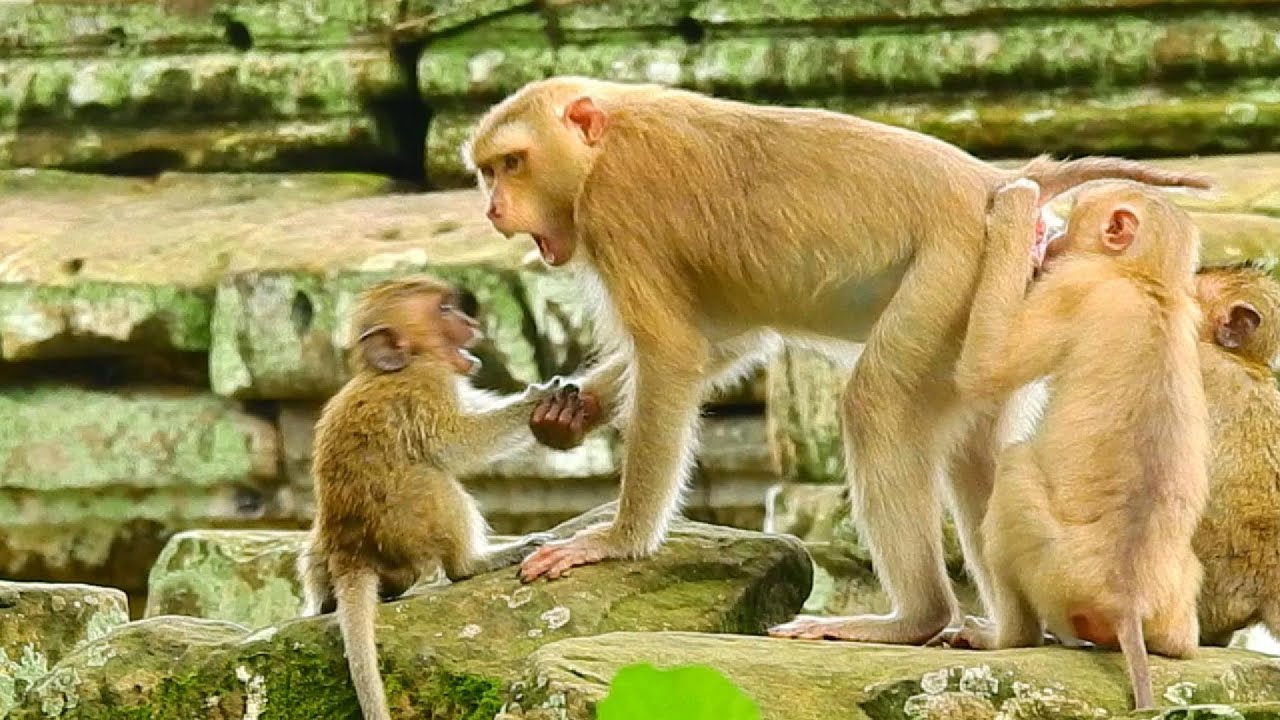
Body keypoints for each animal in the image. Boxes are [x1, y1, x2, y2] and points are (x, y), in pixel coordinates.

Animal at [295, 276, 581, 720]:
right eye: (444, 310)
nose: (472, 322)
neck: (401, 363)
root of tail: (351, 553)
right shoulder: (426, 383)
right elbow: (455, 444)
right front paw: (537, 399)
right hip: (409, 524)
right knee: (433, 479)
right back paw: (473, 562)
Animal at [464, 75, 1211, 645]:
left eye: (512, 163)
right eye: (488, 171)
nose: (494, 209)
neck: (604, 143)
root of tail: (993, 182)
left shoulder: (619, 210)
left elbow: (674, 353)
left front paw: (616, 542)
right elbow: (728, 338)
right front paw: (570, 411)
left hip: (955, 268)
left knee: (878, 405)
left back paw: (915, 619)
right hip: (1010, 291)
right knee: (979, 451)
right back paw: (1013, 633)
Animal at [942, 178, 1209, 711]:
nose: (1055, 244)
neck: (1146, 279)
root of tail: (1126, 599)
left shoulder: (1072, 286)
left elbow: (985, 370)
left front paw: (1017, 207)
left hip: (1054, 573)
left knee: (1015, 467)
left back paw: (1005, 637)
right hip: (1171, 601)